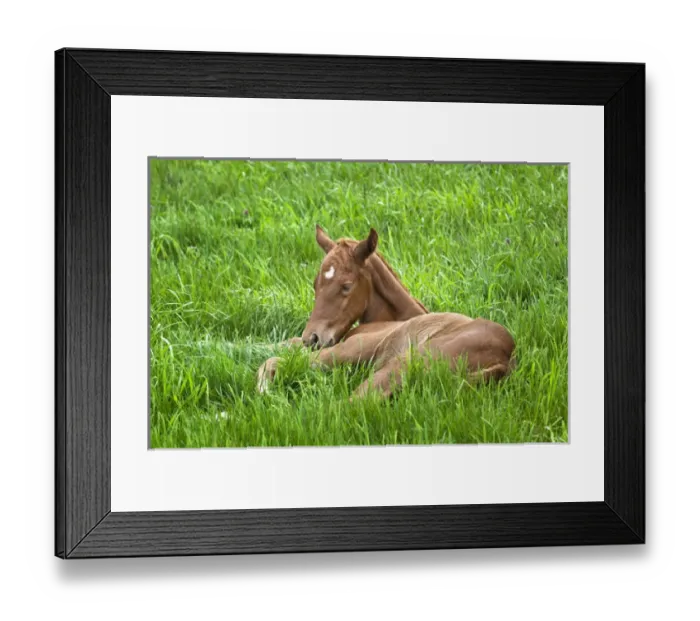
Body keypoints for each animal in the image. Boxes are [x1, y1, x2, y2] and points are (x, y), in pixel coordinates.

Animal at [257, 225, 517, 399]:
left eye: (346, 286)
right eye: (315, 283)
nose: (312, 337)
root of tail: (505, 362)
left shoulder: (353, 346)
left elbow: (276, 359)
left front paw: (263, 388)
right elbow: (285, 345)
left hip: (400, 364)